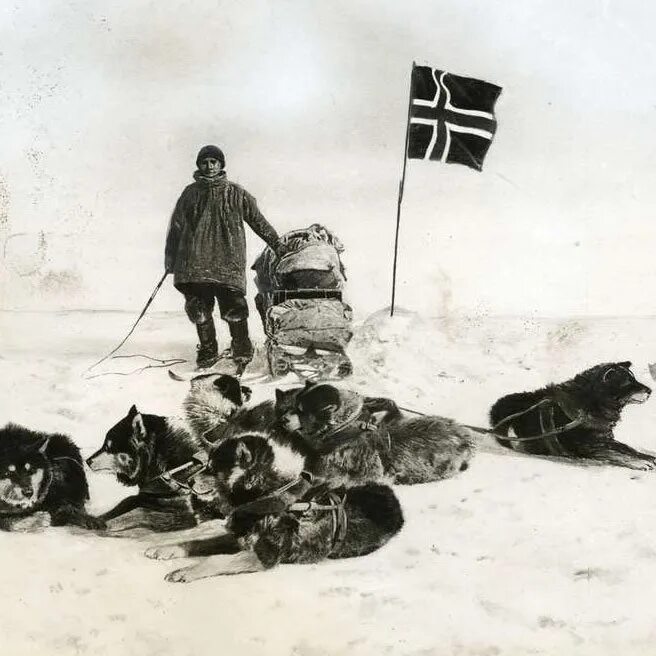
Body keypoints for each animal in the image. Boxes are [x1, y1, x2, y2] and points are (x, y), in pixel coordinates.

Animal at [87, 404, 209, 532]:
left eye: (108, 447)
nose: (87, 461)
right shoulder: (147, 496)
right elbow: (127, 502)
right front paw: (97, 519)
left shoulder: (184, 511)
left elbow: (140, 514)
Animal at [144, 434, 402, 580]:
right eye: (206, 465)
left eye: (213, 469)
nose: (188, 481)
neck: (264, 497)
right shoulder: (241, 538)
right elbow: (196, 543)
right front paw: (166, 549)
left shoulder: (263, 554)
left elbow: (214, 560)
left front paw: (185, 571)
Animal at [486, 362, 656, 468]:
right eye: (628, 382)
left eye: (634, 379)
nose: (650, 391)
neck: (590, 403)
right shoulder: (587, 446)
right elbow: (616, 454)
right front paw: (640, 463)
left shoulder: (604, 439)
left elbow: (628, 449)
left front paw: (648, 457)